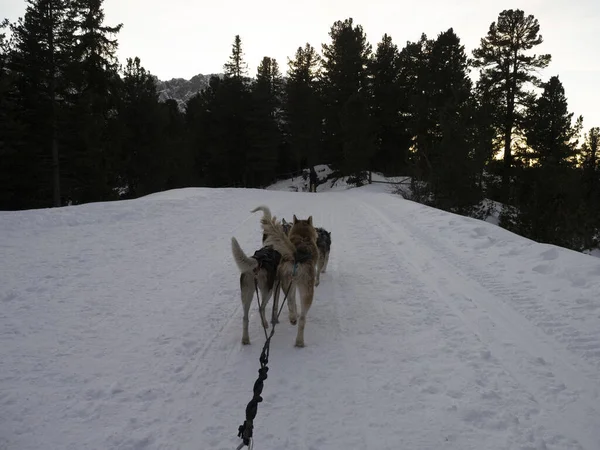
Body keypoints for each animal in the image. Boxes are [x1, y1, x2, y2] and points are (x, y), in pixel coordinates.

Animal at [256, 207, 318, 348]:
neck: (303, 237)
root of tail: (296, 255)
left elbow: (292, 302)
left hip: (286, 282)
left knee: (290, 301)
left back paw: (293, 319)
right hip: (306, 290)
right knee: (302, 318)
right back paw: (299, 339)